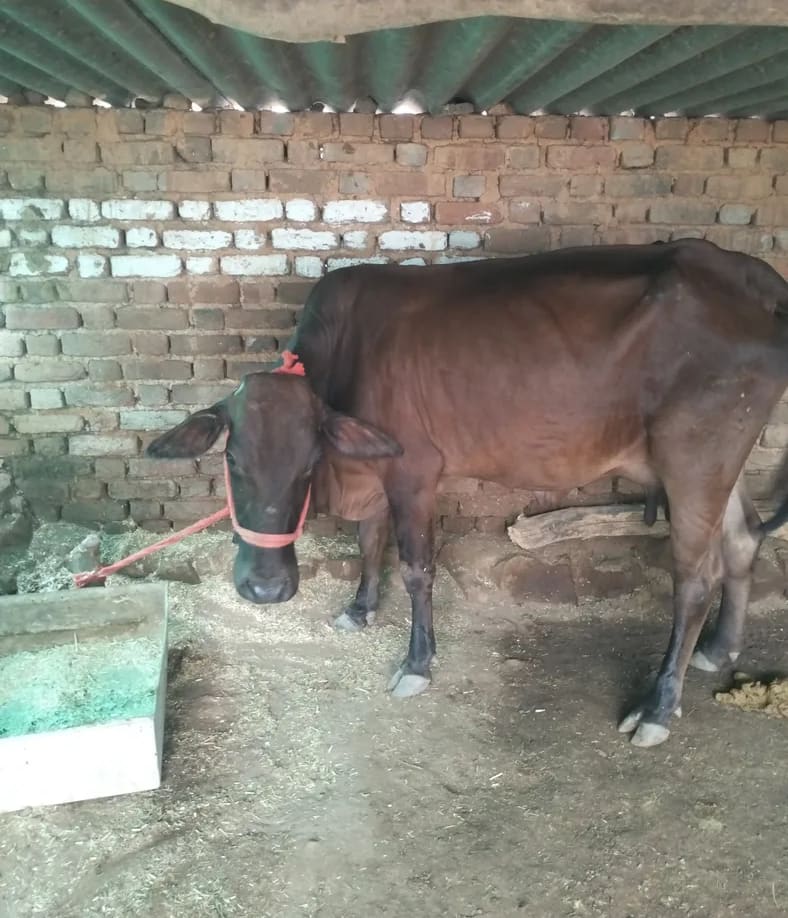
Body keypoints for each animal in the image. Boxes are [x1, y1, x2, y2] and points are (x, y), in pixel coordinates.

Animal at [147, 239, 788, 748]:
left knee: (695, 578)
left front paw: (417, 664)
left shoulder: (413, 472)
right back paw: (718, 651)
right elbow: (368, 539)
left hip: (695, 457)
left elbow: (415, 568)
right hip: (721, 462)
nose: (266, 589)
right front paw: (359, 609)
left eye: (308, 464)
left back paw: (657, 708)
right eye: (233, 459)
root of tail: (746, 273)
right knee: (741, 540)